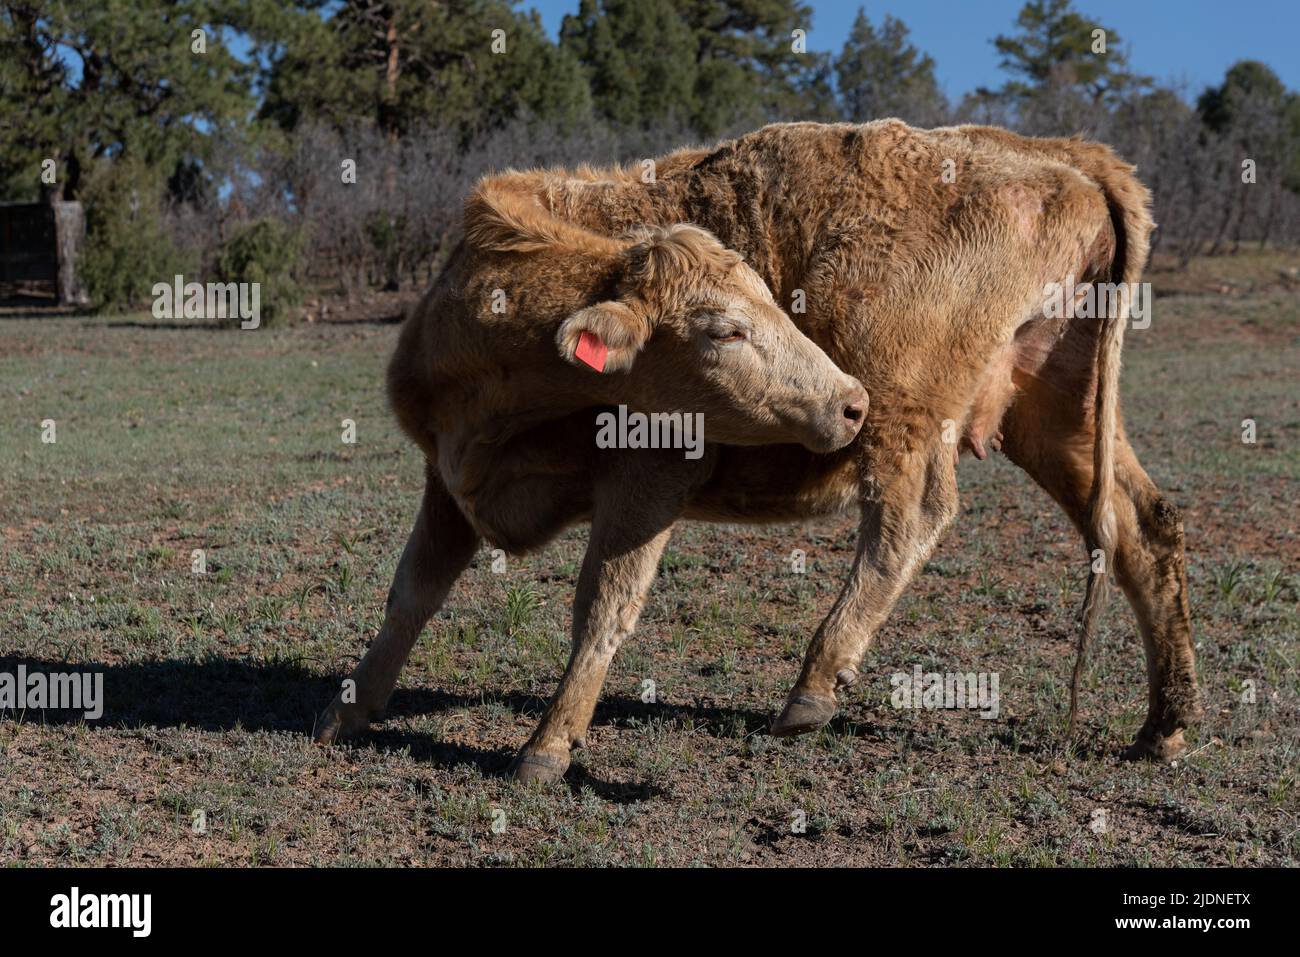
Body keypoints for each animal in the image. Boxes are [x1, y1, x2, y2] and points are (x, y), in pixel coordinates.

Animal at [312, 119, 1196, 780]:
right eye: (725, 327)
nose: (847, 400)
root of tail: (1062, 157)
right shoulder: (447, 477)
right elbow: (412, 593)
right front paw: (349, 710)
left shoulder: (649, 474)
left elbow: (603, 603)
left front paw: (548, 745)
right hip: (1059, 413)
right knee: (1143, 527)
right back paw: (1164, 723)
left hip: (911, 415)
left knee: (909, 520)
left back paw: (813, 687)